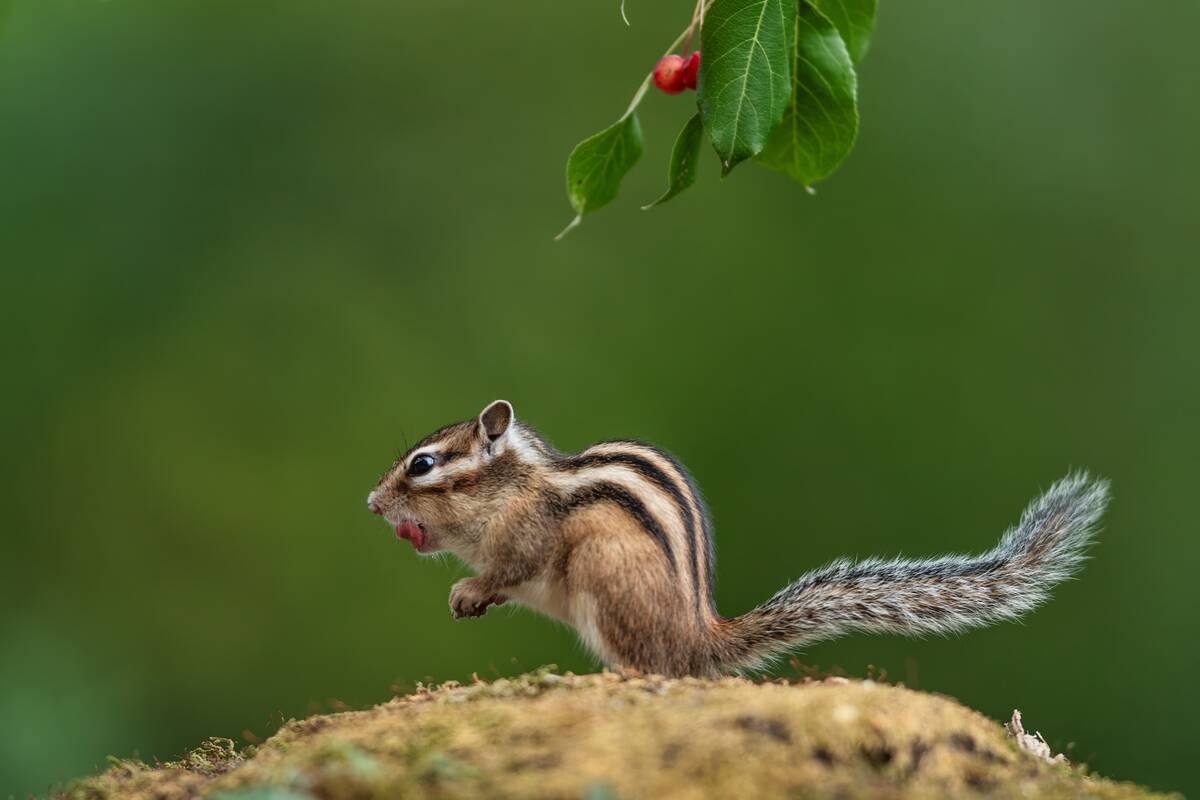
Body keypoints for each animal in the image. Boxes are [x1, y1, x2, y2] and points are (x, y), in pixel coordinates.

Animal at [367, 400, 1109, 677]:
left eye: (422, 465)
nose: (372, 503)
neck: (515, 485)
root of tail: (701, 635)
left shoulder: (527, 535)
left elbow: (509, 569)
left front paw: (469, 590)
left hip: (607, 582)